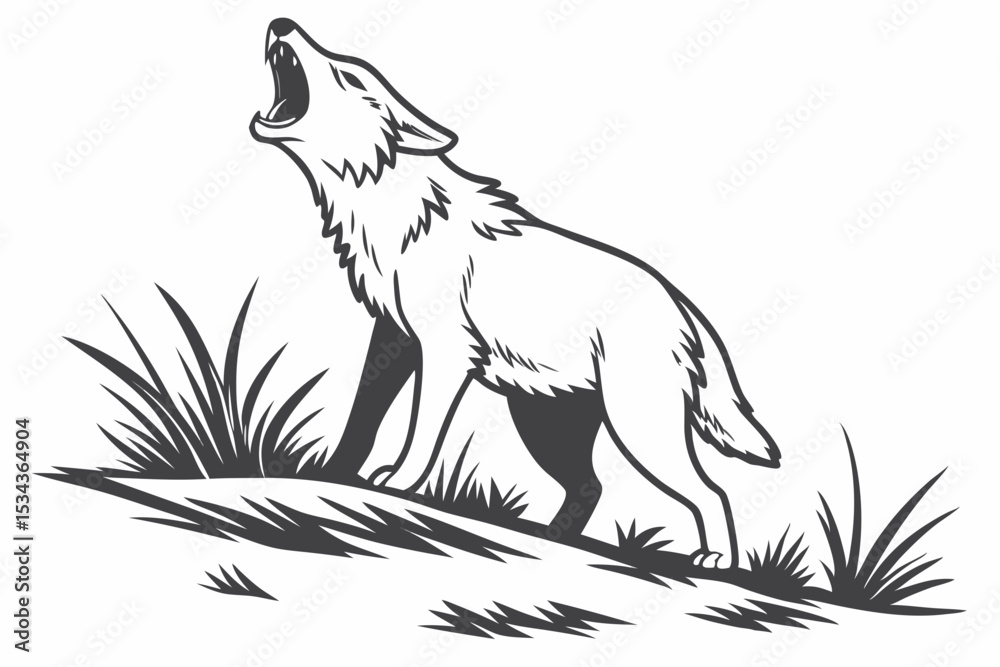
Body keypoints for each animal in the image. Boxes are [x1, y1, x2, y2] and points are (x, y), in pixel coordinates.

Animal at [251, 18, 780, 568]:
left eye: (349, 75)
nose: (281, 24)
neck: (399, 216)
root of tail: (680, 303)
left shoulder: (445, 354)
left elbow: (421, 431)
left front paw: (399, 481)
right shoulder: (392, 339)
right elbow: (361, 418)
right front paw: (334, 474)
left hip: (635, 428)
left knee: (710, 491)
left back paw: (716, 560)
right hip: (543, 421)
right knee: (591, 487)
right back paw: (550, 539)